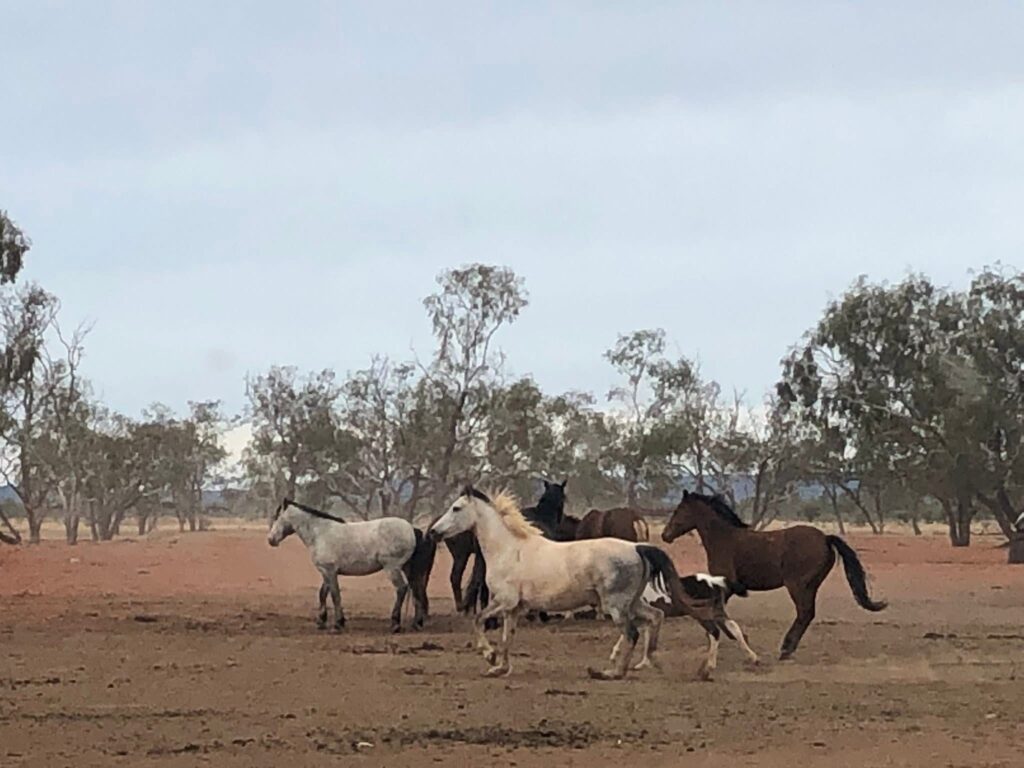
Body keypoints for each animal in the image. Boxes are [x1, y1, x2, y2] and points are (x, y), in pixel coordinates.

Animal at [268, 498, 436, 633]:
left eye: (277, 517)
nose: (271, 540)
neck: (320, 533)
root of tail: (412, 529)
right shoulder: (327, 571)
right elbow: (323, 593)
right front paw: (321, 621)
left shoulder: (329, 571)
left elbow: (335, 595)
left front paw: (338, 624)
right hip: (408, 569)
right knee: (417, 590)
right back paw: (416, 624)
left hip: (392, 568)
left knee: (402, 588)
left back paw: (395, 624)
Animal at [429, 485, 717, 680]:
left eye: (456, 508)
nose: (433, 532)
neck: (509, 549)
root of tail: (637, 547)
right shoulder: (513, 608)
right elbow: (507, 637)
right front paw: (500, 667)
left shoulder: (504, 602)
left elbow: (478, 620)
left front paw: (489, 656)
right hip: (632, 603)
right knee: (655, 617)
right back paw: (652, 661)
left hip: (616, 606)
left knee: (632, 632)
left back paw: (612, 672)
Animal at [662, 490, 887, 659]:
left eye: (679, 510)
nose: (665, 535)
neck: (724, 538)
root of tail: (825, 538)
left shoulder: (727, 586)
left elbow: (719, 615)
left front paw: (740, 638)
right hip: (810, 585)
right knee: (807, 614)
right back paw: (787, 648)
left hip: (797, 585)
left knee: (805, 613)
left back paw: (785, 649)